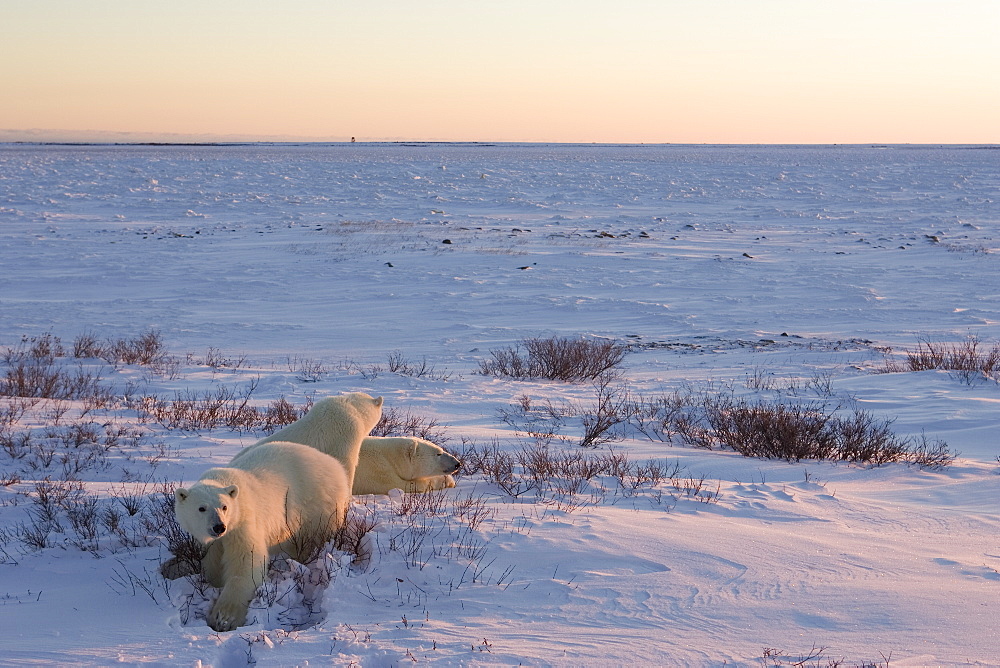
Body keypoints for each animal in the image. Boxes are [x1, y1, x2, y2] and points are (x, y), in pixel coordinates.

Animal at [175, 444, 352, 632]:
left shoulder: (243, 521)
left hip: (318, 504)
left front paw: (224, 618)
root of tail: (335, 465)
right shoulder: (216, 540)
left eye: (224, 507)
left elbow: (246, 561)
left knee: (315, 536)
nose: (219, 527)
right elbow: (213, 561)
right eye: (201, 508)